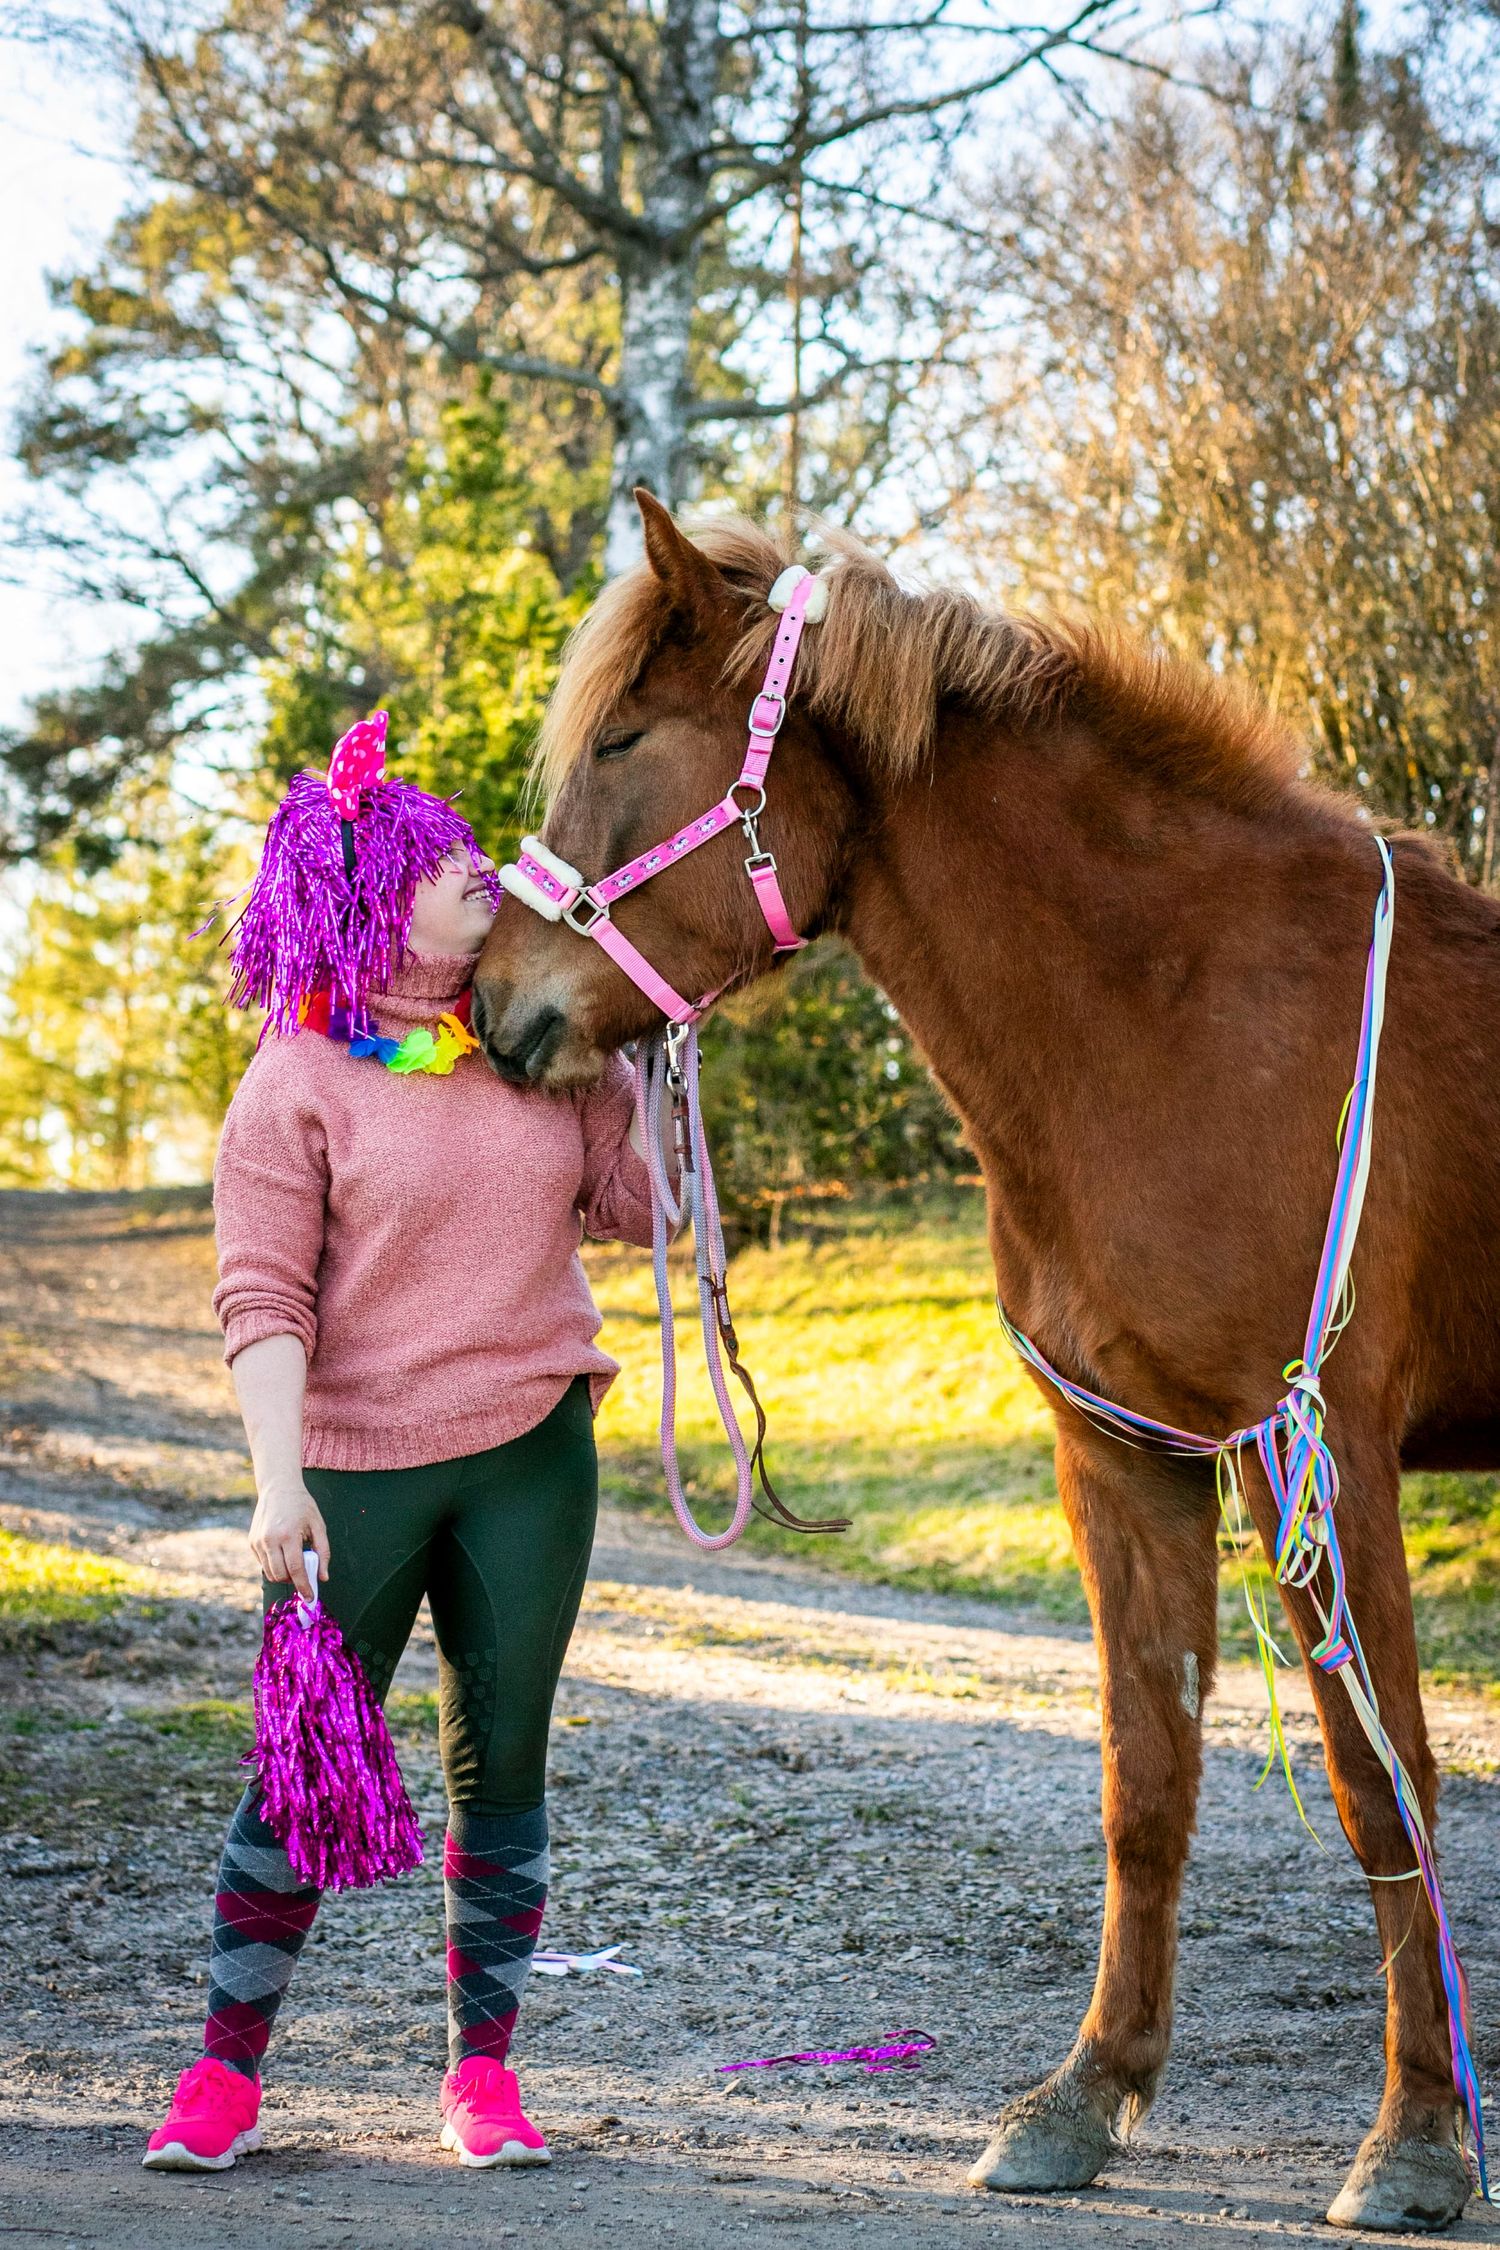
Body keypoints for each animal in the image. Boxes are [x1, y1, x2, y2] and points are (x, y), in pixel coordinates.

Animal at [473, 490, 1500, 2232]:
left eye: (621, 737)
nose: (490, 1002)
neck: (1178, 1006)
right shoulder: (1129, 1451)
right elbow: (1144, 1785)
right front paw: (1084, 2098)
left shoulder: (1318, 1452)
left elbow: (1386, 1781)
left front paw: (1419, 2135)